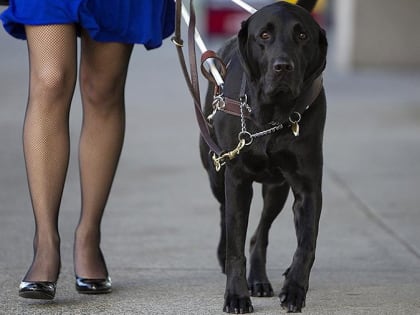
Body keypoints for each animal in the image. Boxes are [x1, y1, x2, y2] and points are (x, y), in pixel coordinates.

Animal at [199, 0, 328, 314]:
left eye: (302, 36)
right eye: (265, 36)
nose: (283, 66)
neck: (273, 116)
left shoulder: (308, 188)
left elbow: (306, 244)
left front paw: (295, 289)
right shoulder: (236, 179)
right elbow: (235, 246)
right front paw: (236, 295)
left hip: (276, 189)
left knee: (260, 234)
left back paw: (258, 278)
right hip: (216, 173)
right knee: (225, 214)